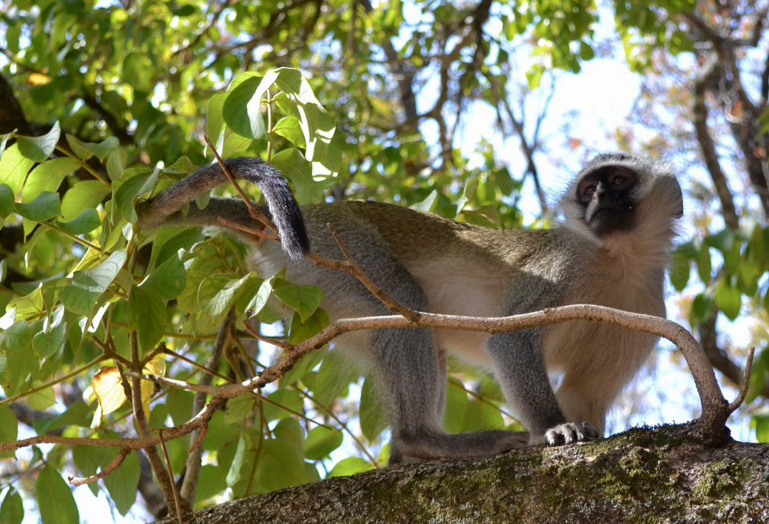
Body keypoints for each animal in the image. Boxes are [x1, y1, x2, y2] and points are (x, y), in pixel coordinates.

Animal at [136, 152, 683, 464]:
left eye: (617, 182)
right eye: (589, 188)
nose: (599, 200)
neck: (615, 262)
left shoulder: (645, 312)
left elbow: (584, 391)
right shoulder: (564, 266)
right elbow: (509, 338)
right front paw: (554, 427)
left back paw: (410, 450)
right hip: (338, 254)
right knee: (405, 306)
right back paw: (421, 440)